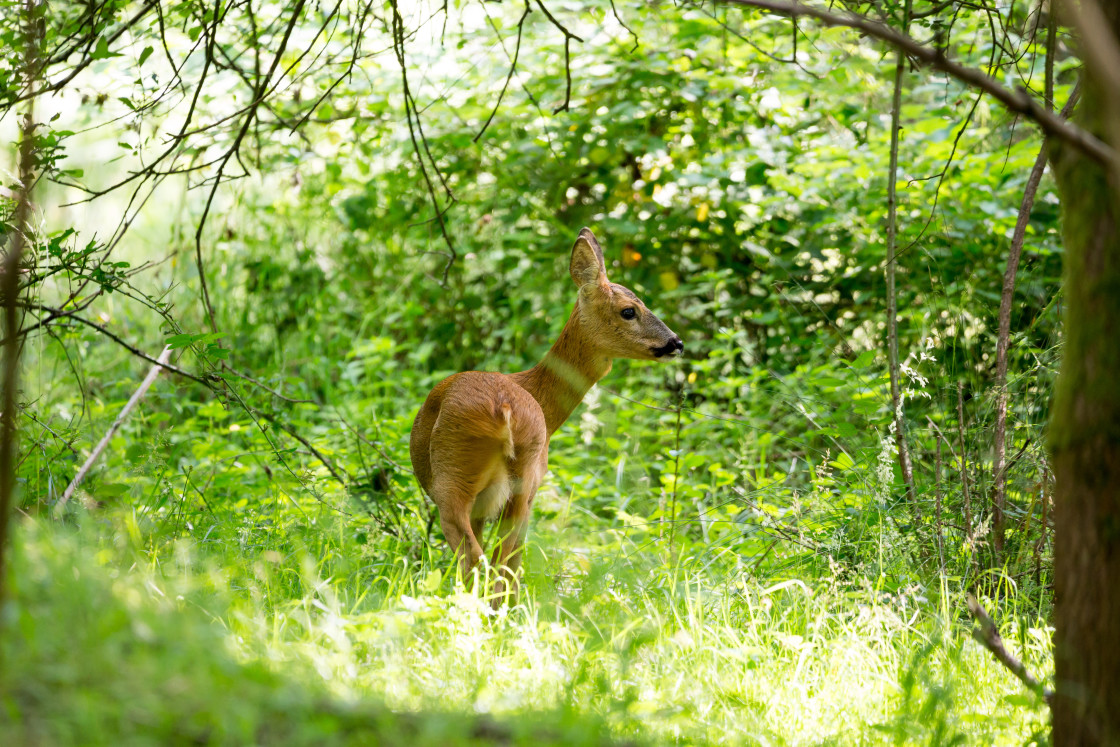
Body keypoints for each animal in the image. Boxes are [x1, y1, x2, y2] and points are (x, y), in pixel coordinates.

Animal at [407, 229, 676, 609]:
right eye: (629, 310)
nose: (675, 342)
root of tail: (503, 407)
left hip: (458, 478)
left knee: (481, 560)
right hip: (506, 481)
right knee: (498, 563)